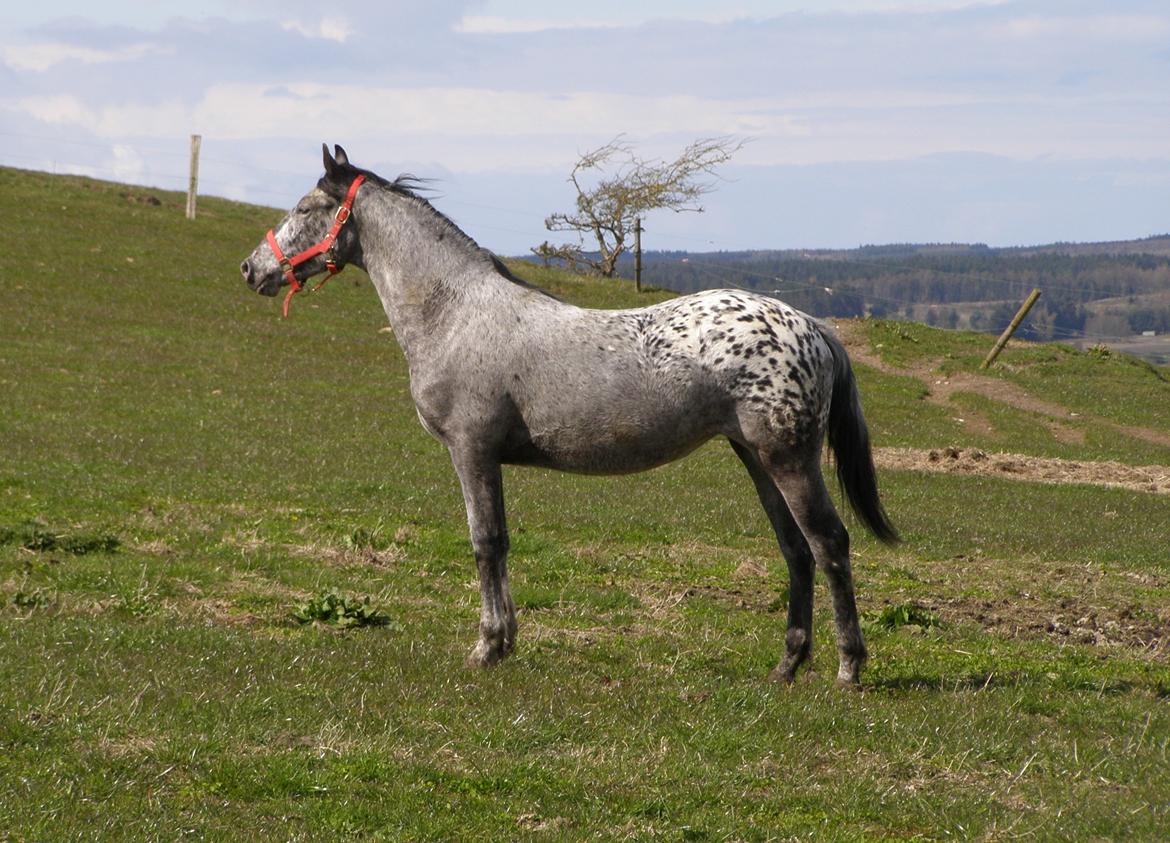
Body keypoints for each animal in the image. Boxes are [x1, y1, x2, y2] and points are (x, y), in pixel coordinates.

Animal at [235, 144, 893, 682]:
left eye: (304, 206)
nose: (252, 269)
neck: (455, 312)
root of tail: (812, 326)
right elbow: (497, 543)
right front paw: (502, 642)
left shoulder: (471, 450)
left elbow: (486, 542)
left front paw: (488, 647)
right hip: (755, 457)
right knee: (795, 549)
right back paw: (786, 666)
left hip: (787, 459)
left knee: (829, 543)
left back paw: (848, 668)